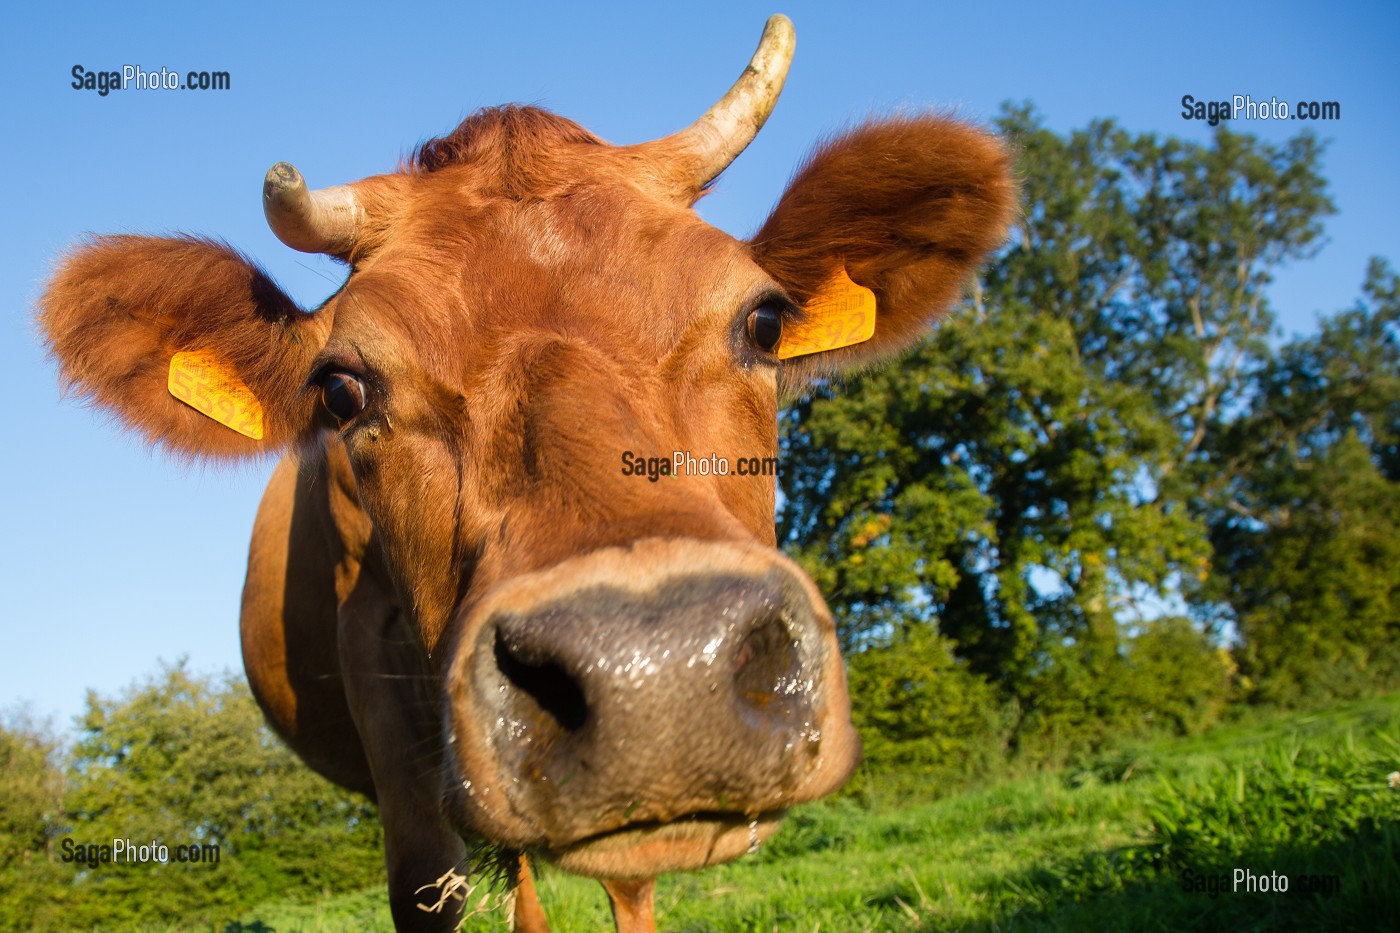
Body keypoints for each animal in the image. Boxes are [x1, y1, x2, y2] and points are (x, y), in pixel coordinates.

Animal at [38, 15, 1015, 933]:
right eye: (343, 389)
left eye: (765, 321)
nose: (659, 673)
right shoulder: (375, 660)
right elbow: (430, 884)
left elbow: (629, 887)